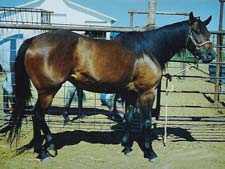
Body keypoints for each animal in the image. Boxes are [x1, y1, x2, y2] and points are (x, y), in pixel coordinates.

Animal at [7, 12, 216, 162]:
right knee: (37, 116)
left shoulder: (131, 93)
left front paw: (127, 147)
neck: (148, 50)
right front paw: (150, 153)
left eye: (208, 32)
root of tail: (33, 41)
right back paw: (45, 151)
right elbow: (146, 122)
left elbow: (129, 118)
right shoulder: (146, 93)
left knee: (37, 116)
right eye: (197, 32)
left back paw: (42, 149)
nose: (211, 56)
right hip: (48, 91)